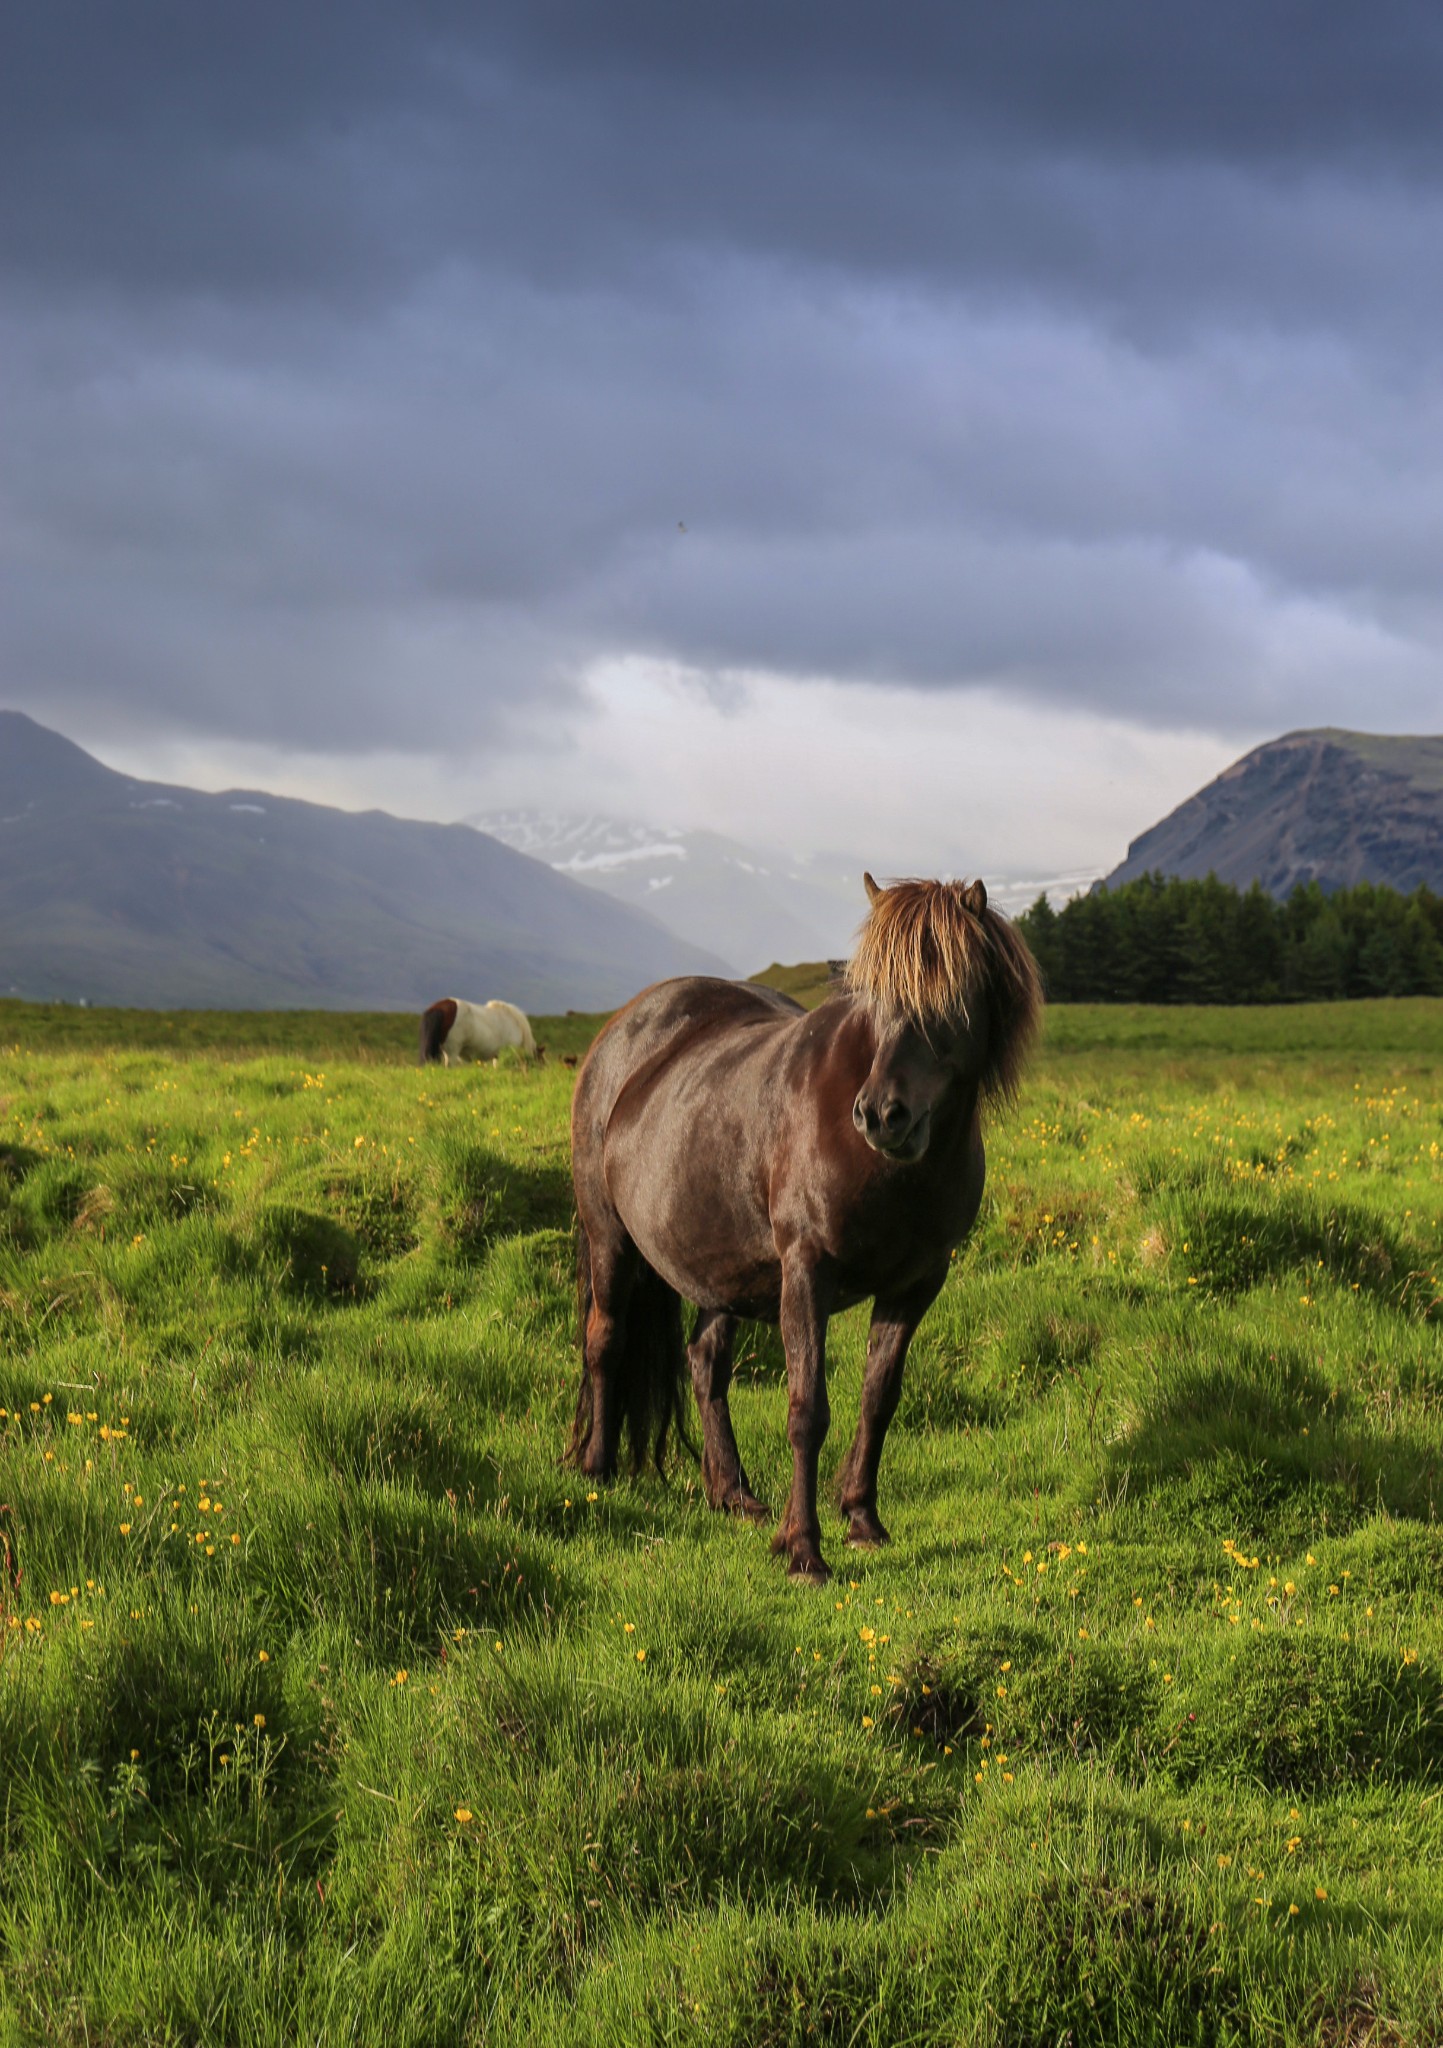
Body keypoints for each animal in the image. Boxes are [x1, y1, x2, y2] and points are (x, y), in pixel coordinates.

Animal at [569, 872, 1039, 1572]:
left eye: (951, 997)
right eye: (873, 998)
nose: (882, 1115)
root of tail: (624, 1029)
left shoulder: (917, 1283)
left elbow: (878, 1399)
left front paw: (862, 1520)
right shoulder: (807, 1273)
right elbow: (807, 1410)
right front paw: (803, 1550)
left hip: (722, 1269)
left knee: (705, 1361)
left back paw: (733, 1493)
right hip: (611, 1239)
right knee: (605, 1340)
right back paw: (597, 1471)